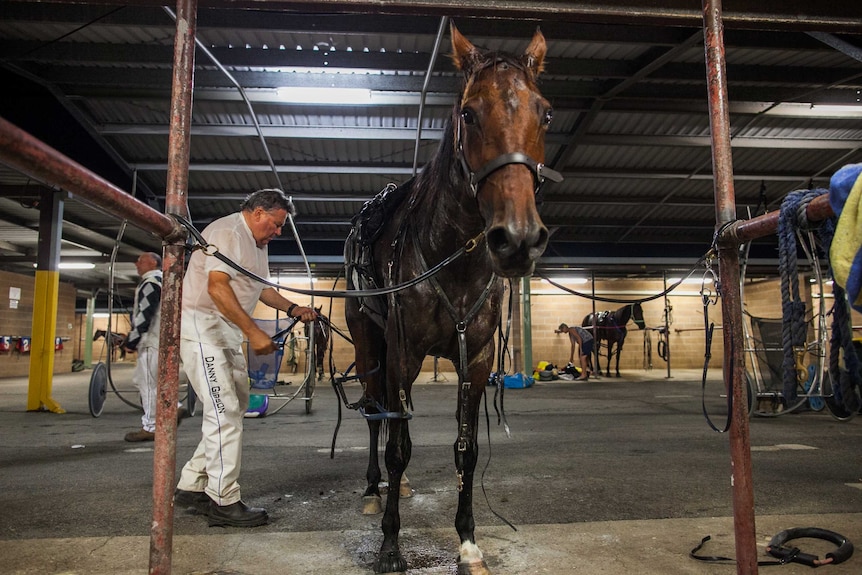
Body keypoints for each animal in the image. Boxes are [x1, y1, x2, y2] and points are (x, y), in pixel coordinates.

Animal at [344, 22, 560, 575]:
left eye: (545, 112)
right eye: (469, 112)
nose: (518, 238)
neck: (452, 260)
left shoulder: (476, 360)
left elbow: (467, 450)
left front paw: (467, 543)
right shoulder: (402, 354)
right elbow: (398, 446)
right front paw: (390, 546)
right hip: (370, 344)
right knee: (376, 415)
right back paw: (373, 490)